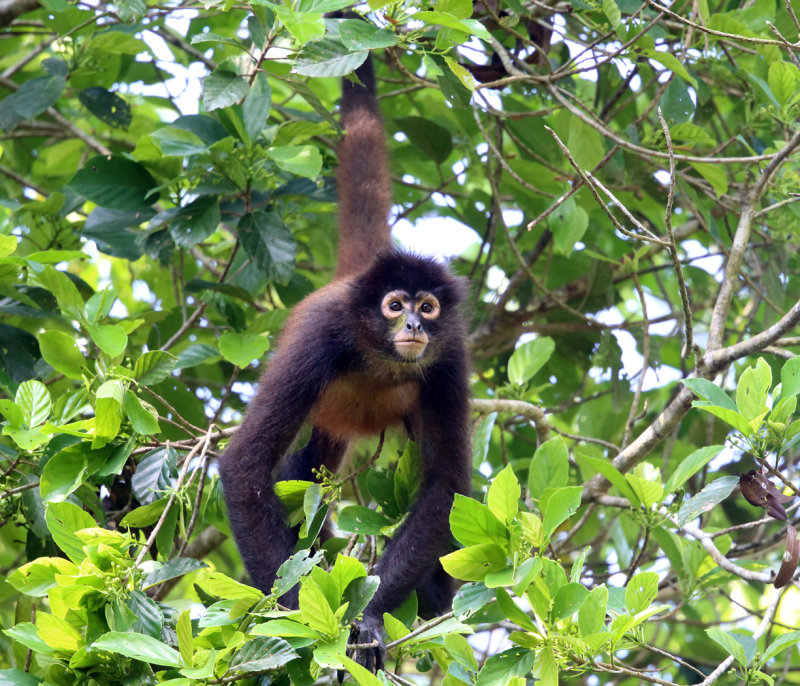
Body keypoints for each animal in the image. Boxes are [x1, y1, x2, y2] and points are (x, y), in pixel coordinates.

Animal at [216, 44, 472, 672]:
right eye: (395, 305)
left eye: (427, 307)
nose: (413, 325)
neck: (378, 352)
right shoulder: (321, 336)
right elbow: (245, 467)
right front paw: (290, 617)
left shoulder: (449, 354)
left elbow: (446, 487)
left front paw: (370, 617)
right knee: (297, 468)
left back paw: (434, 596)